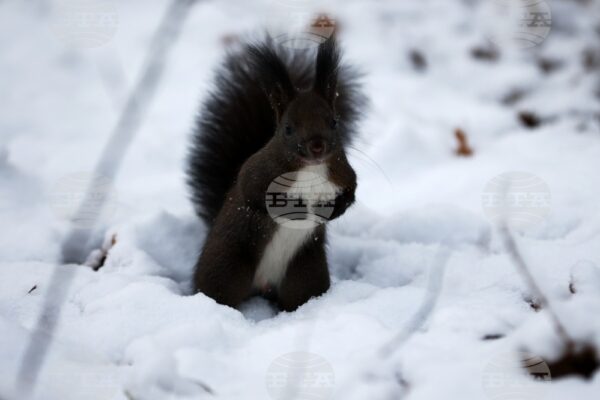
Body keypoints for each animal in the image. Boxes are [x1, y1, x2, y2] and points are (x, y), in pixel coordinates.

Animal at [186, 34, 366, 310]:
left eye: (334, 122)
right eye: (288, 128)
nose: (317, 146)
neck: (311, 167)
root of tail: (263, 284)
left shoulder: (344, 174)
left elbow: (351, 193)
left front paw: (331, 210)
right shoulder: (256, 173)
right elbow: (254, 194)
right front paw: (299, 208)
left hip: (305, 274)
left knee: (298, 297)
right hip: (226, 268)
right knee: (218, 293)